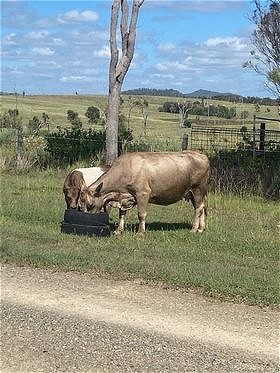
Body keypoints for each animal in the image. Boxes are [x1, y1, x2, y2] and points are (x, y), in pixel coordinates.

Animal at [77, 150, 209, 232]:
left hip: (198, 189)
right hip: (193, 193)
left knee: (198, 209)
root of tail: (201, 154)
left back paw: (194, 229)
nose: (87, 220)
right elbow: (121, 214)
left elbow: (141, 214)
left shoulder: (143, 194)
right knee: (202, 207)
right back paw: (201, 228)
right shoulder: (124, 197)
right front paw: (118, 231)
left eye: (91, 204)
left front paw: (140, 232)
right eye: (80, 204)